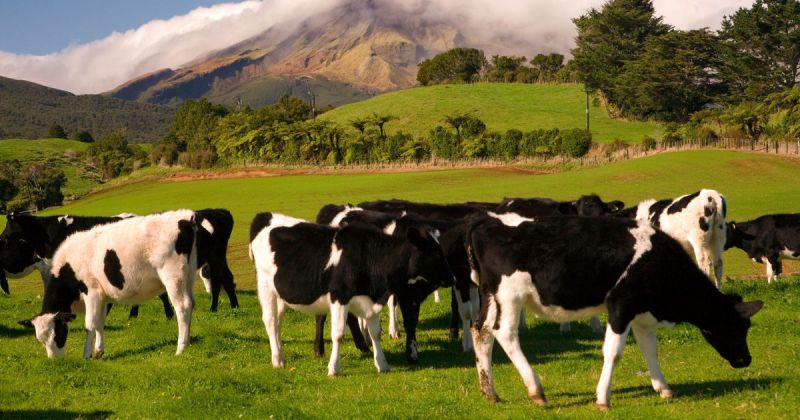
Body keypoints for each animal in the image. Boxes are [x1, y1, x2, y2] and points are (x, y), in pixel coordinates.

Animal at [19, 210, 206, 358]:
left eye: (58, 334)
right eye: (41, 340)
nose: (55, 360)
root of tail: (184, 218)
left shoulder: (92, 292)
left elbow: (90, 324)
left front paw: (86, 354)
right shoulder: (102, 297)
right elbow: (100, 322)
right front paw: (98, 351)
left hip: (173, 277)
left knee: (182, 307)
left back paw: (180, 348)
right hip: (188, 277)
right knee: (191, 304)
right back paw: (188, 342)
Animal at [249, 212, 454, 376]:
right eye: (434, 253)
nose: (452, 278)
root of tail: (265, 215)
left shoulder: (371, 299)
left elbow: (375, 333)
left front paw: (382, 364)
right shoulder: (339, 296)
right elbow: (338, 334)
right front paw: (334, 368)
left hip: (280, 292)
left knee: (278, 322)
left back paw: (280, 353)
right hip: (265, 285)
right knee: (270, 320)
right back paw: (277, 360)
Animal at [467, 215, 762, 410]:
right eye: (735, 326)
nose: (746, 359)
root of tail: (487, 224)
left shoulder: (642, 314)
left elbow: (650, 349)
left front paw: (664, 388)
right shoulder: (621, 305)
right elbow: (614, 352)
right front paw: (603, 398)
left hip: (490, 295)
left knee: (481, 331)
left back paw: (490, 393)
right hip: (511, 293)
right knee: (504, 333)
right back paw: (536, 390)